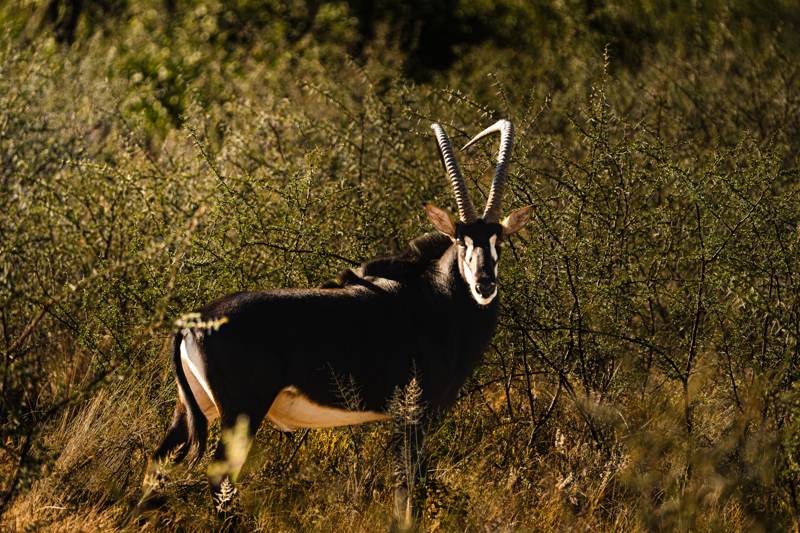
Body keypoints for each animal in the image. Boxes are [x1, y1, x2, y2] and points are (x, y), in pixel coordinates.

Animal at [137, 120, 533, 526]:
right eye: (460, 239)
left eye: (498, 240)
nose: (484, 283)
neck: (435, 295)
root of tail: (193, 321)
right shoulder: (416, 415)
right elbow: (409, 485)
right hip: (241, 412)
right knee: (219, 476)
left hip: (191, 410)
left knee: (157, 464)